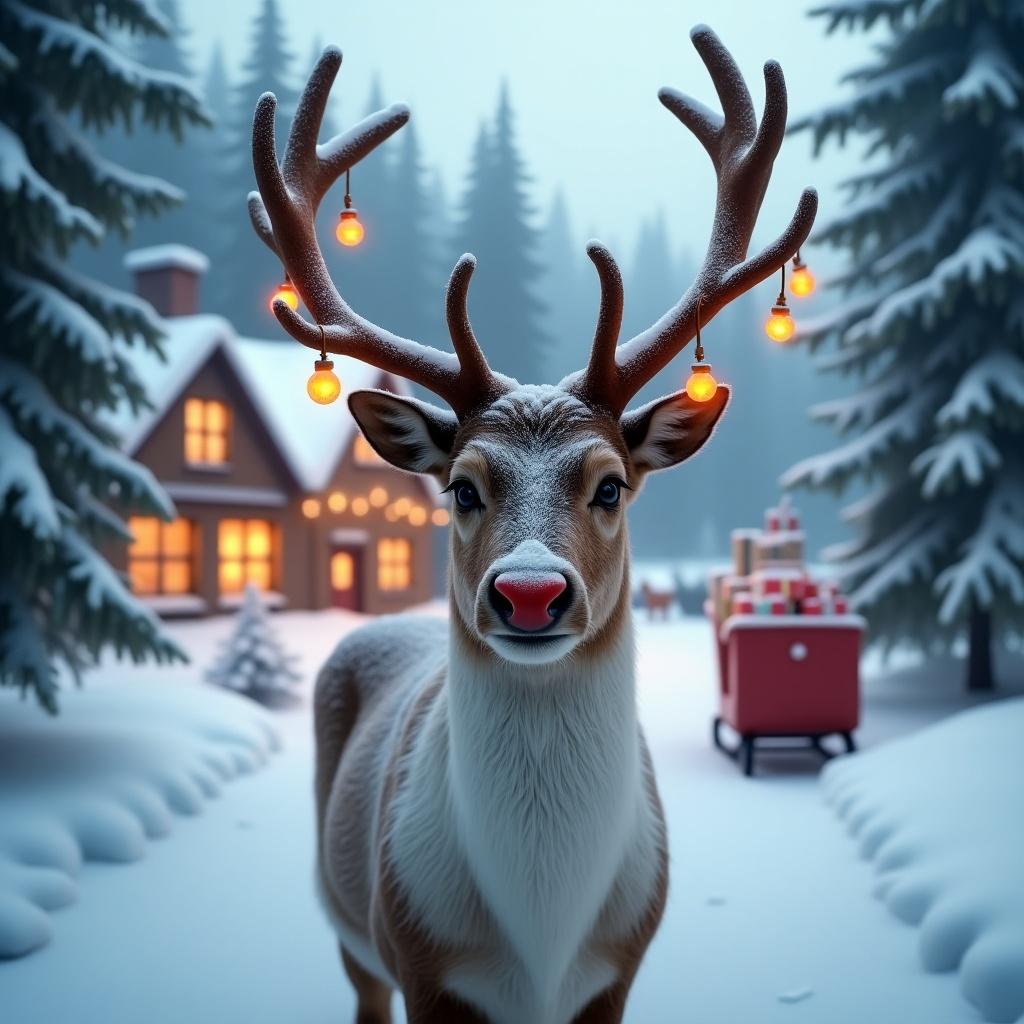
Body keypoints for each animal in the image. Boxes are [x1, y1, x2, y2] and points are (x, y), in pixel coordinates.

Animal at [247, 25, 815, 1024]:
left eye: (612, 486)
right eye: (462, 488)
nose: (529, 592)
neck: (541, 940)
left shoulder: (618, 972)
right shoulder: (424, 964)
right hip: (348, 920)